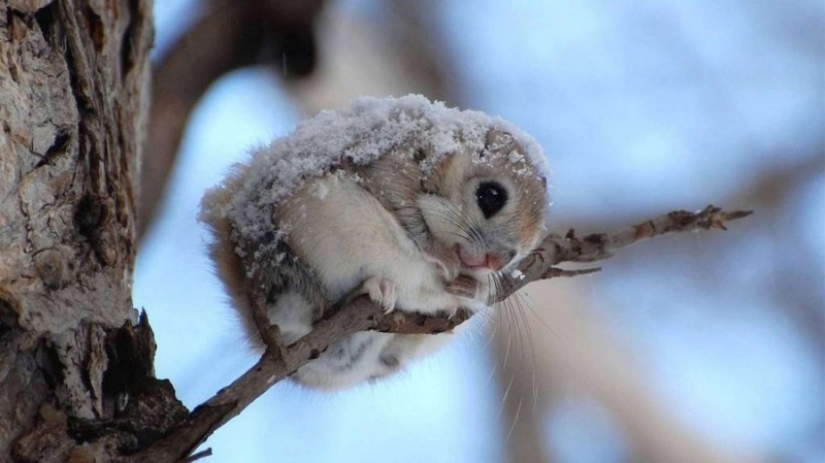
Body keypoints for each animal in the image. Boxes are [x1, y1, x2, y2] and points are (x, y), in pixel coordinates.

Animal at [200, 95, 549, 390]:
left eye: (520, 251)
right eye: (490, 196)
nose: (496, 261)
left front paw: (474, 287)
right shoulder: (391, 166)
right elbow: (408, 214)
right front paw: (442, 257)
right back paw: (371, 288)